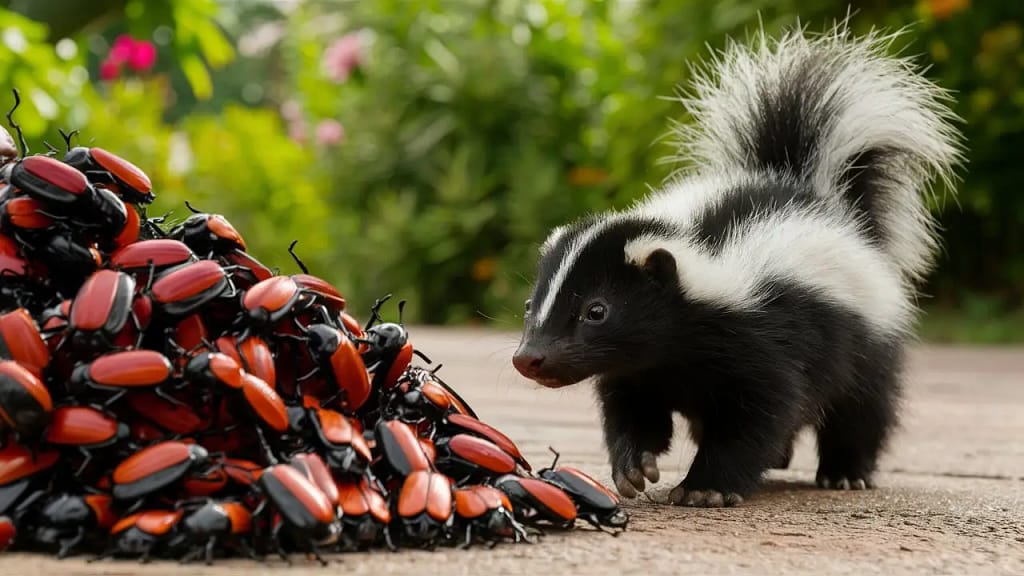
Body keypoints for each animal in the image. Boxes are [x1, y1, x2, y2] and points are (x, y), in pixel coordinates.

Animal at [509, 24, 958, 504]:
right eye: (529, 306)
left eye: (596, 311)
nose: (529, 357)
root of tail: (814, 193)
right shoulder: (636, 366)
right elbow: (633, 410)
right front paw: (634, 467)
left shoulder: (765, 337)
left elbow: (759, 415)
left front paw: (706, 487)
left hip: (867, 338)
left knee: (862, 408)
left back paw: (845, 471)